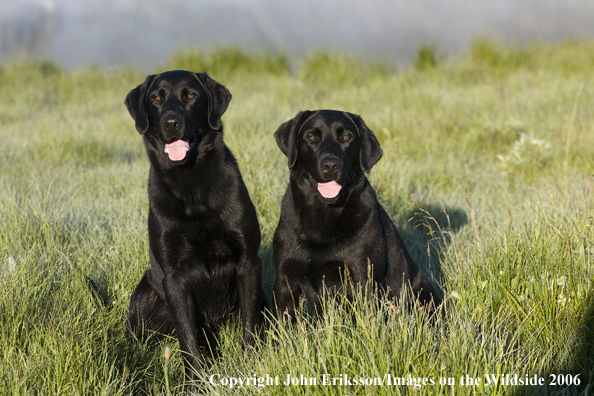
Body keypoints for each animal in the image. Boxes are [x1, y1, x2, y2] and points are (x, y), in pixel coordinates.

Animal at [125, 69, 262, 386]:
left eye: (190, 95)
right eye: (156, 98)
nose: (171, 123)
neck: (192, 186)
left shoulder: (248, 263)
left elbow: (249, 326)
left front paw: (252, 368)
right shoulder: (174, 280)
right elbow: (188, 340)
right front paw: (196, 384)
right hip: (144, 294)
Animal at [272, 110, 440, 318]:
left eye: (346, 138)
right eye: (311, 137)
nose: (330, 165)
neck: (324, 214)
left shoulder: (362, 278)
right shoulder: (284, 280)